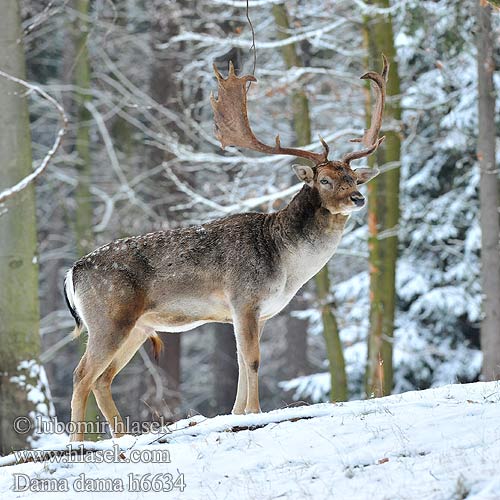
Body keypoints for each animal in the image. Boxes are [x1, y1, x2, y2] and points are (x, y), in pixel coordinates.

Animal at [64, 54, 388, 440]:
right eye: (325, 179)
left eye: (352, 177)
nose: (358, 198)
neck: (286, 266)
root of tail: (72, 272)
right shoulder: (243, 298)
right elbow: (253, 359)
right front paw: (255, 412)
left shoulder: (258, 312)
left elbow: (241, 361)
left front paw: (236, 413)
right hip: (108, 318)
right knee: (81, 375)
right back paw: (78, 443)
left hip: (137, 327)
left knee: (102, 379)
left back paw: (122, 436)